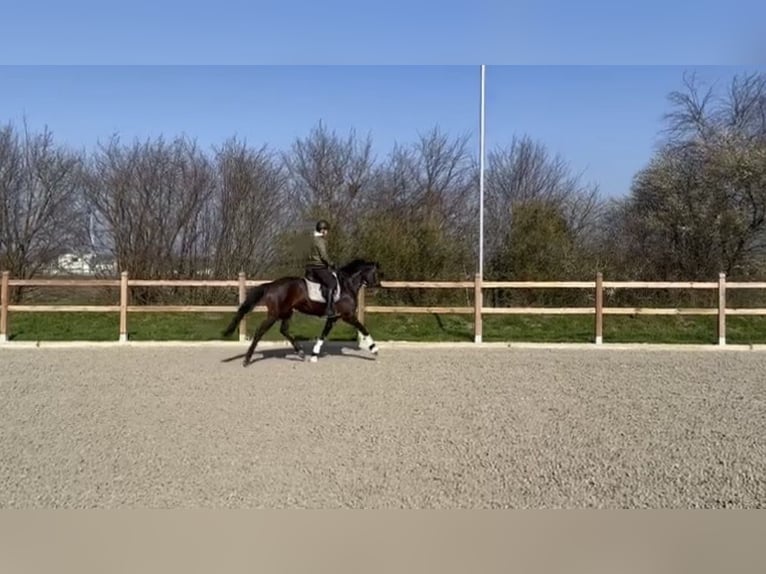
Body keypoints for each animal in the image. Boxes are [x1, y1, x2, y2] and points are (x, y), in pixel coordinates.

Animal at [222, 259, 382, 365]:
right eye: (376, 273)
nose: (378, 285)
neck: (346, 285)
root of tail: (271, 285)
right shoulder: (348, 316)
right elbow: (363, 328)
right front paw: (374, 349)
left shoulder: (333, 317)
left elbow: (323, 335)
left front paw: (314, 355)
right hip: (274, 314)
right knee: (260, 332)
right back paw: (247, 359)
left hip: (287, 313)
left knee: (284, 330)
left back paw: (300, 352)